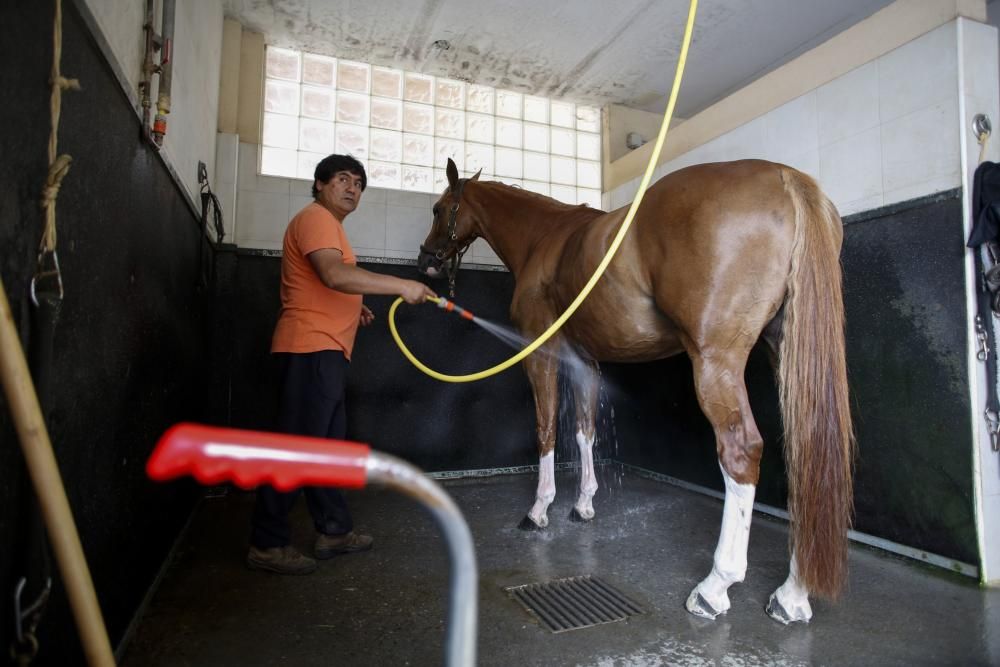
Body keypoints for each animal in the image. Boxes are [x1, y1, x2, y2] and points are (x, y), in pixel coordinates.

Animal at [418, 158, 856, 628]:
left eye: (439, 209)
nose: (426, 259)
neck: (543, 238)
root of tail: (784, 177)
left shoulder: (542, 354)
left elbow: (546, 429)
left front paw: (539, 510)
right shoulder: (584, 362)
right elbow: (584, 431)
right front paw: (583, 504)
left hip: (715, 360)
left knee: (741, 450)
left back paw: (715, 587)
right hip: (789, 358)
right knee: (806, 450)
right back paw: (792, 594)